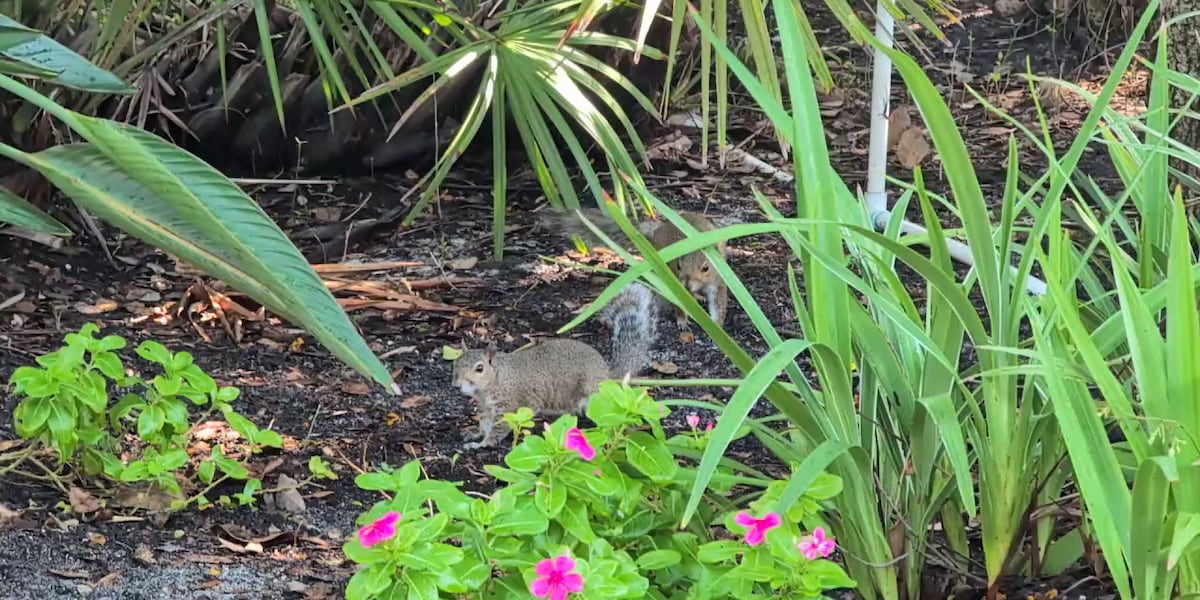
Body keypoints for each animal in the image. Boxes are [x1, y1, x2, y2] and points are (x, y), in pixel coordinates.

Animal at [451, 281, 658, 449]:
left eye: (479, 368)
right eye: (455, 364)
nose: (457, 385)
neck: (497, 379)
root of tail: (607, 375)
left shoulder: (508, 406)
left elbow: (498, 429)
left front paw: (483, 444)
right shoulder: (487, 407)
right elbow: (485, 424)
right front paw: (475, 435)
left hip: (592, 396)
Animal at [539, 208, 729, 330]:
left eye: (706, 268)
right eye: (678, 265)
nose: (688, 284)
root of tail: (659, 229)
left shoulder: (718, 281)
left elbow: (719, 303)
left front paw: (717, 326)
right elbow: (679, 304)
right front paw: (682, 321)